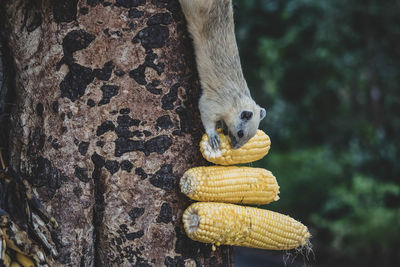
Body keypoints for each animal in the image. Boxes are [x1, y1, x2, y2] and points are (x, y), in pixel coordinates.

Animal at [178, 0, 266, 151]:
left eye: (251, 137)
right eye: (240, 133)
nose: (235, 148)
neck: (235, 100)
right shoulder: (212, 103)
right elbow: (207, 118)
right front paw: (213, 136)